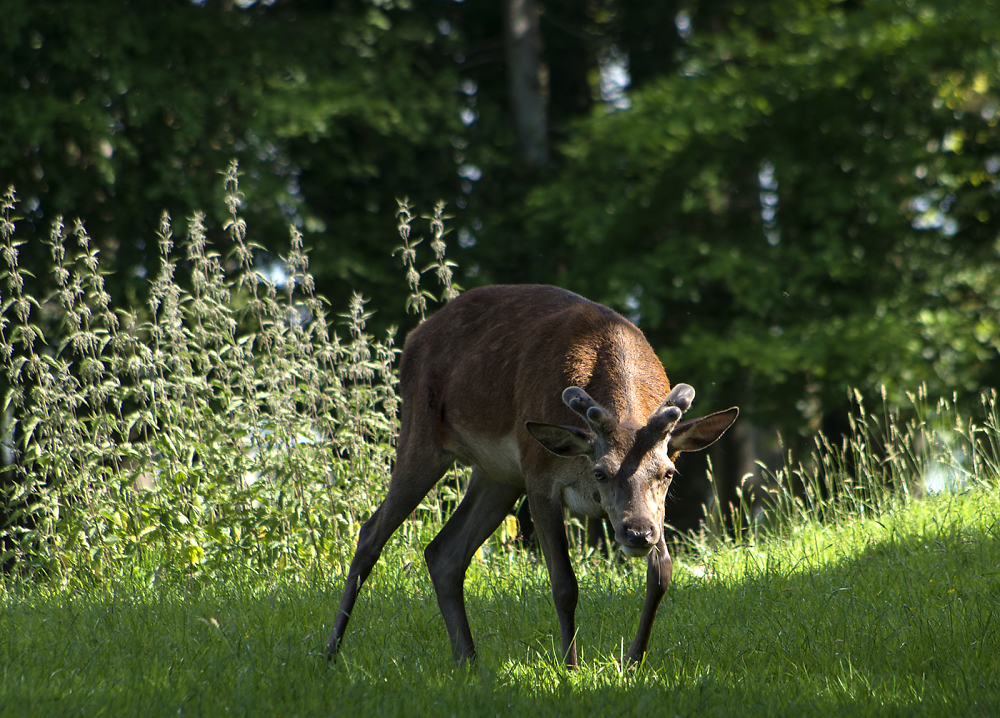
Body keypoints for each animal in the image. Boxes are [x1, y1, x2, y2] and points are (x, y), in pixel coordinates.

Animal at [327, 284, 738, 667]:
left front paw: (633, 661)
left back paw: (469, 662)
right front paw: (571, 667)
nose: (638, 533)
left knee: (443, 552)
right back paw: (330, 652)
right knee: (370, 534)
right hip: (422, 434)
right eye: (601, 472)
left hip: (499, 476)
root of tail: (414, 336)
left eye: (668, 473)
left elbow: (662, 573)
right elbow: (564, 583)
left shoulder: (654, 507)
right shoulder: (540, 479)